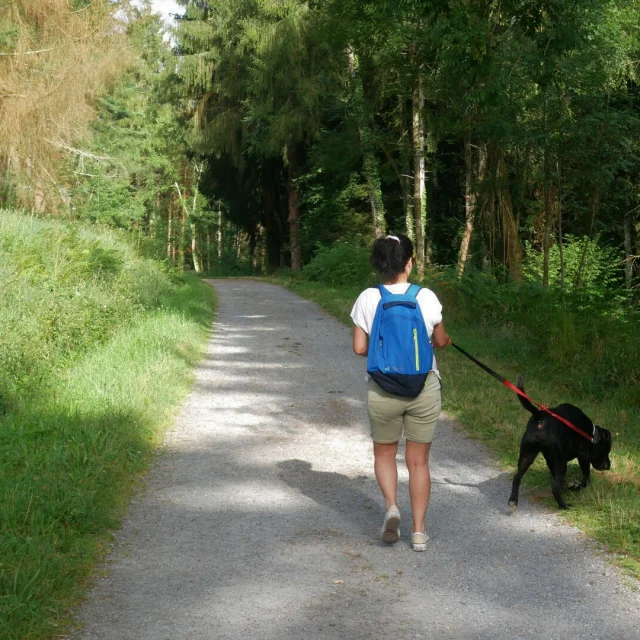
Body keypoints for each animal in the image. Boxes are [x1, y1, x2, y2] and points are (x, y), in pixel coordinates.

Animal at [508, 376, 612, 510]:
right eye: (606, 450)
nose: (608, 466)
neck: (591, 434)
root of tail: (539, 416)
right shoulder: (583, 457)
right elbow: (586, 478)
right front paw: (576, 486)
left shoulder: (550, 460)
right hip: (561, 463)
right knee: (554, 489)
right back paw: (564, 505)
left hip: (527, 455)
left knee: (517, 477)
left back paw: (513, 500)